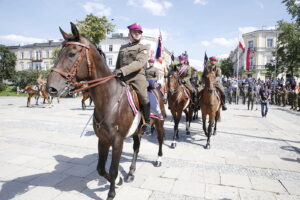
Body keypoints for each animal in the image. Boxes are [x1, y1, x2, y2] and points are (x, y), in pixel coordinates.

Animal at [45, 22, 165, 200]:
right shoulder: (102, 139)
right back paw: (130, 172)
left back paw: (158, 159)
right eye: (58, 53)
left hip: (159, 122)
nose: (50, 88)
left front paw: (111, 192)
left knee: (160, 140)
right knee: (136, 147)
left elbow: (113, 169)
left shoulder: (117, 141)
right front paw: (120, 179)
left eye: (72, 54)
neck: (109, 98)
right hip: (137, 130)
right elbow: (101, 169)